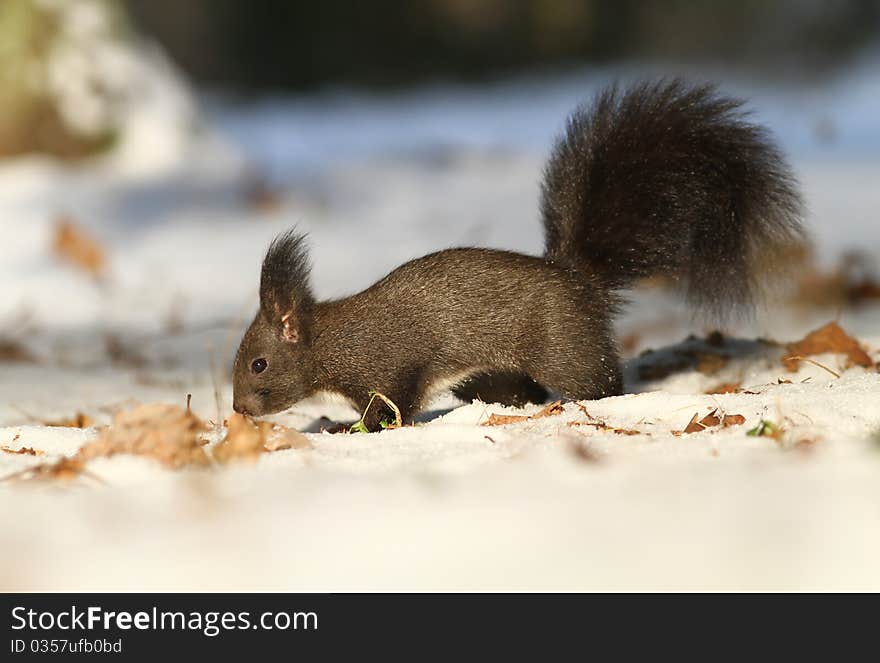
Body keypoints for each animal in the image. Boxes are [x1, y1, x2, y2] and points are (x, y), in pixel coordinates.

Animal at [232, 79, 804, 430]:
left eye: (259, 364)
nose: (238, 409)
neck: (332, 341)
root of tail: (577, 277)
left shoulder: (389, 368)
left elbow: (392, 407)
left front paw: (356, 430)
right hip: (495, 373)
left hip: (565, 347)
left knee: (598, 382)